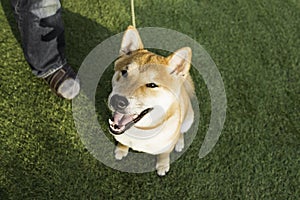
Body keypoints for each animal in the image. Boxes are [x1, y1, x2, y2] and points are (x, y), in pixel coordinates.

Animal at [108, 26, 195, 175]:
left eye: (152, 85)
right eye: (124, 72)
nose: (117, 101)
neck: (141, 131)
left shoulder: (166, 146)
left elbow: (164, 154)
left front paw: (162, 165)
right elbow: (123, 142)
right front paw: (121, 149)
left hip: (189, 119)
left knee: (181, 132)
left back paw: (179, 142)